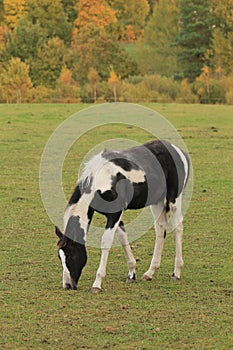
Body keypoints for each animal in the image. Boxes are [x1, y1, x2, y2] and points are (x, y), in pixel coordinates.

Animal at [55, 139, 190, 292]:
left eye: (71, 257)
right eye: (60, 258)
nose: (67, 285)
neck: (102, 178)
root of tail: (178, 150)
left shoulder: (115, 214)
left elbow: (106, 241)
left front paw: (97, 283)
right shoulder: (115, 217)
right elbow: (122, 237)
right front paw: (132, 274)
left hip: (174, 199)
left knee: (178, 228)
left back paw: (176, 272)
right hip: (157, 201)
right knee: (161, 229)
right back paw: (150, 272)